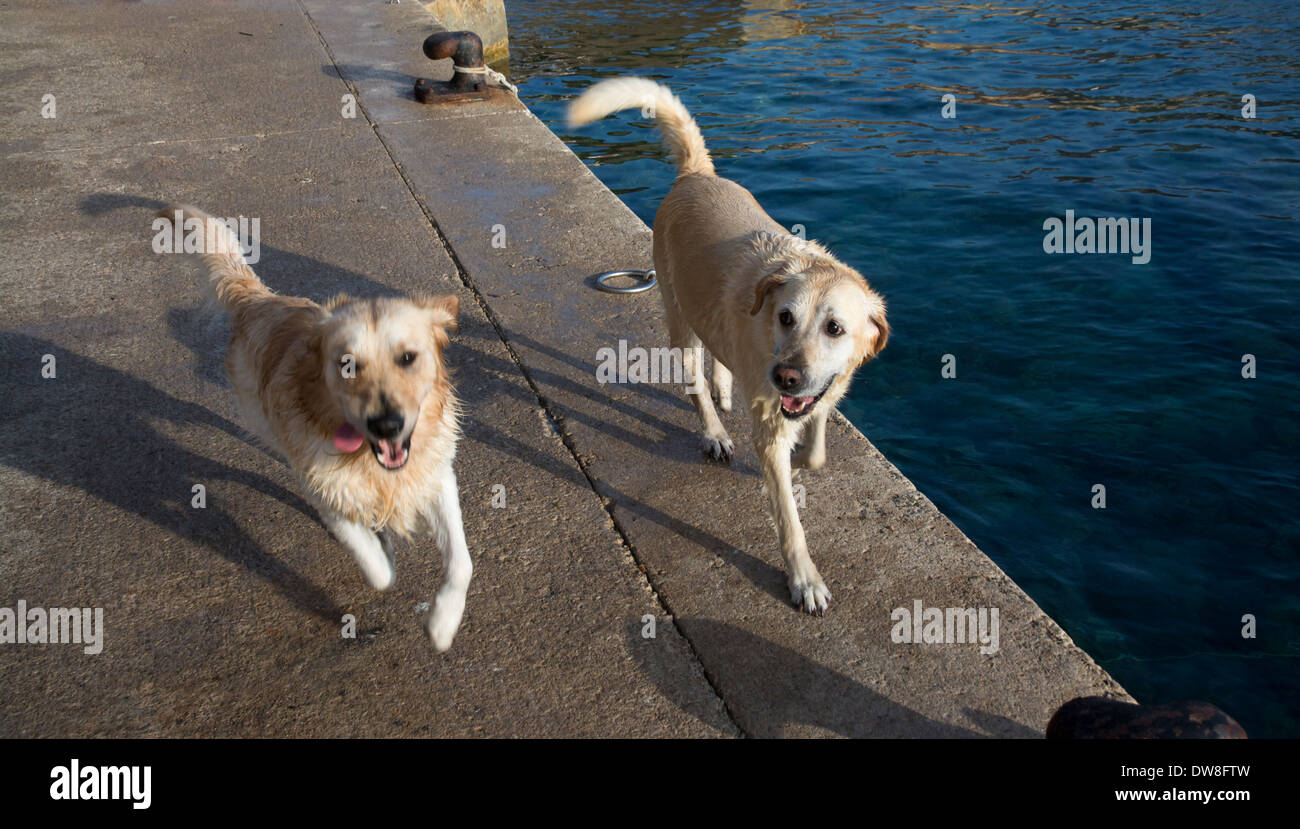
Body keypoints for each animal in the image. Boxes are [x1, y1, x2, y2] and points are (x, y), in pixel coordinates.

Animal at [166, 205, 473, 652]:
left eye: (408, 357)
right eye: (347, 365)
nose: (386, 425)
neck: (372, 465)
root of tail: (260, 299)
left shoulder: (437, 478)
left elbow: (462, 562)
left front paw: (442, 623)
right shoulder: (327, 490)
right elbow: (375, 566)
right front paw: (384, 553)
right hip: (261, 417)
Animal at [572, 81, 889, 613]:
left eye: (835, 329)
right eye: (786, 318)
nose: (784, 376)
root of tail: (697, 175)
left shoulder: (819, 392)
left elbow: (816, 439)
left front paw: (805, 453)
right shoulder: (772, 419)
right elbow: (789, 521)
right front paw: (804, 579)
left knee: (717, 352)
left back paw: (725, 391)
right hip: (677, 314)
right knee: (694, 382)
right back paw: (714, 431)